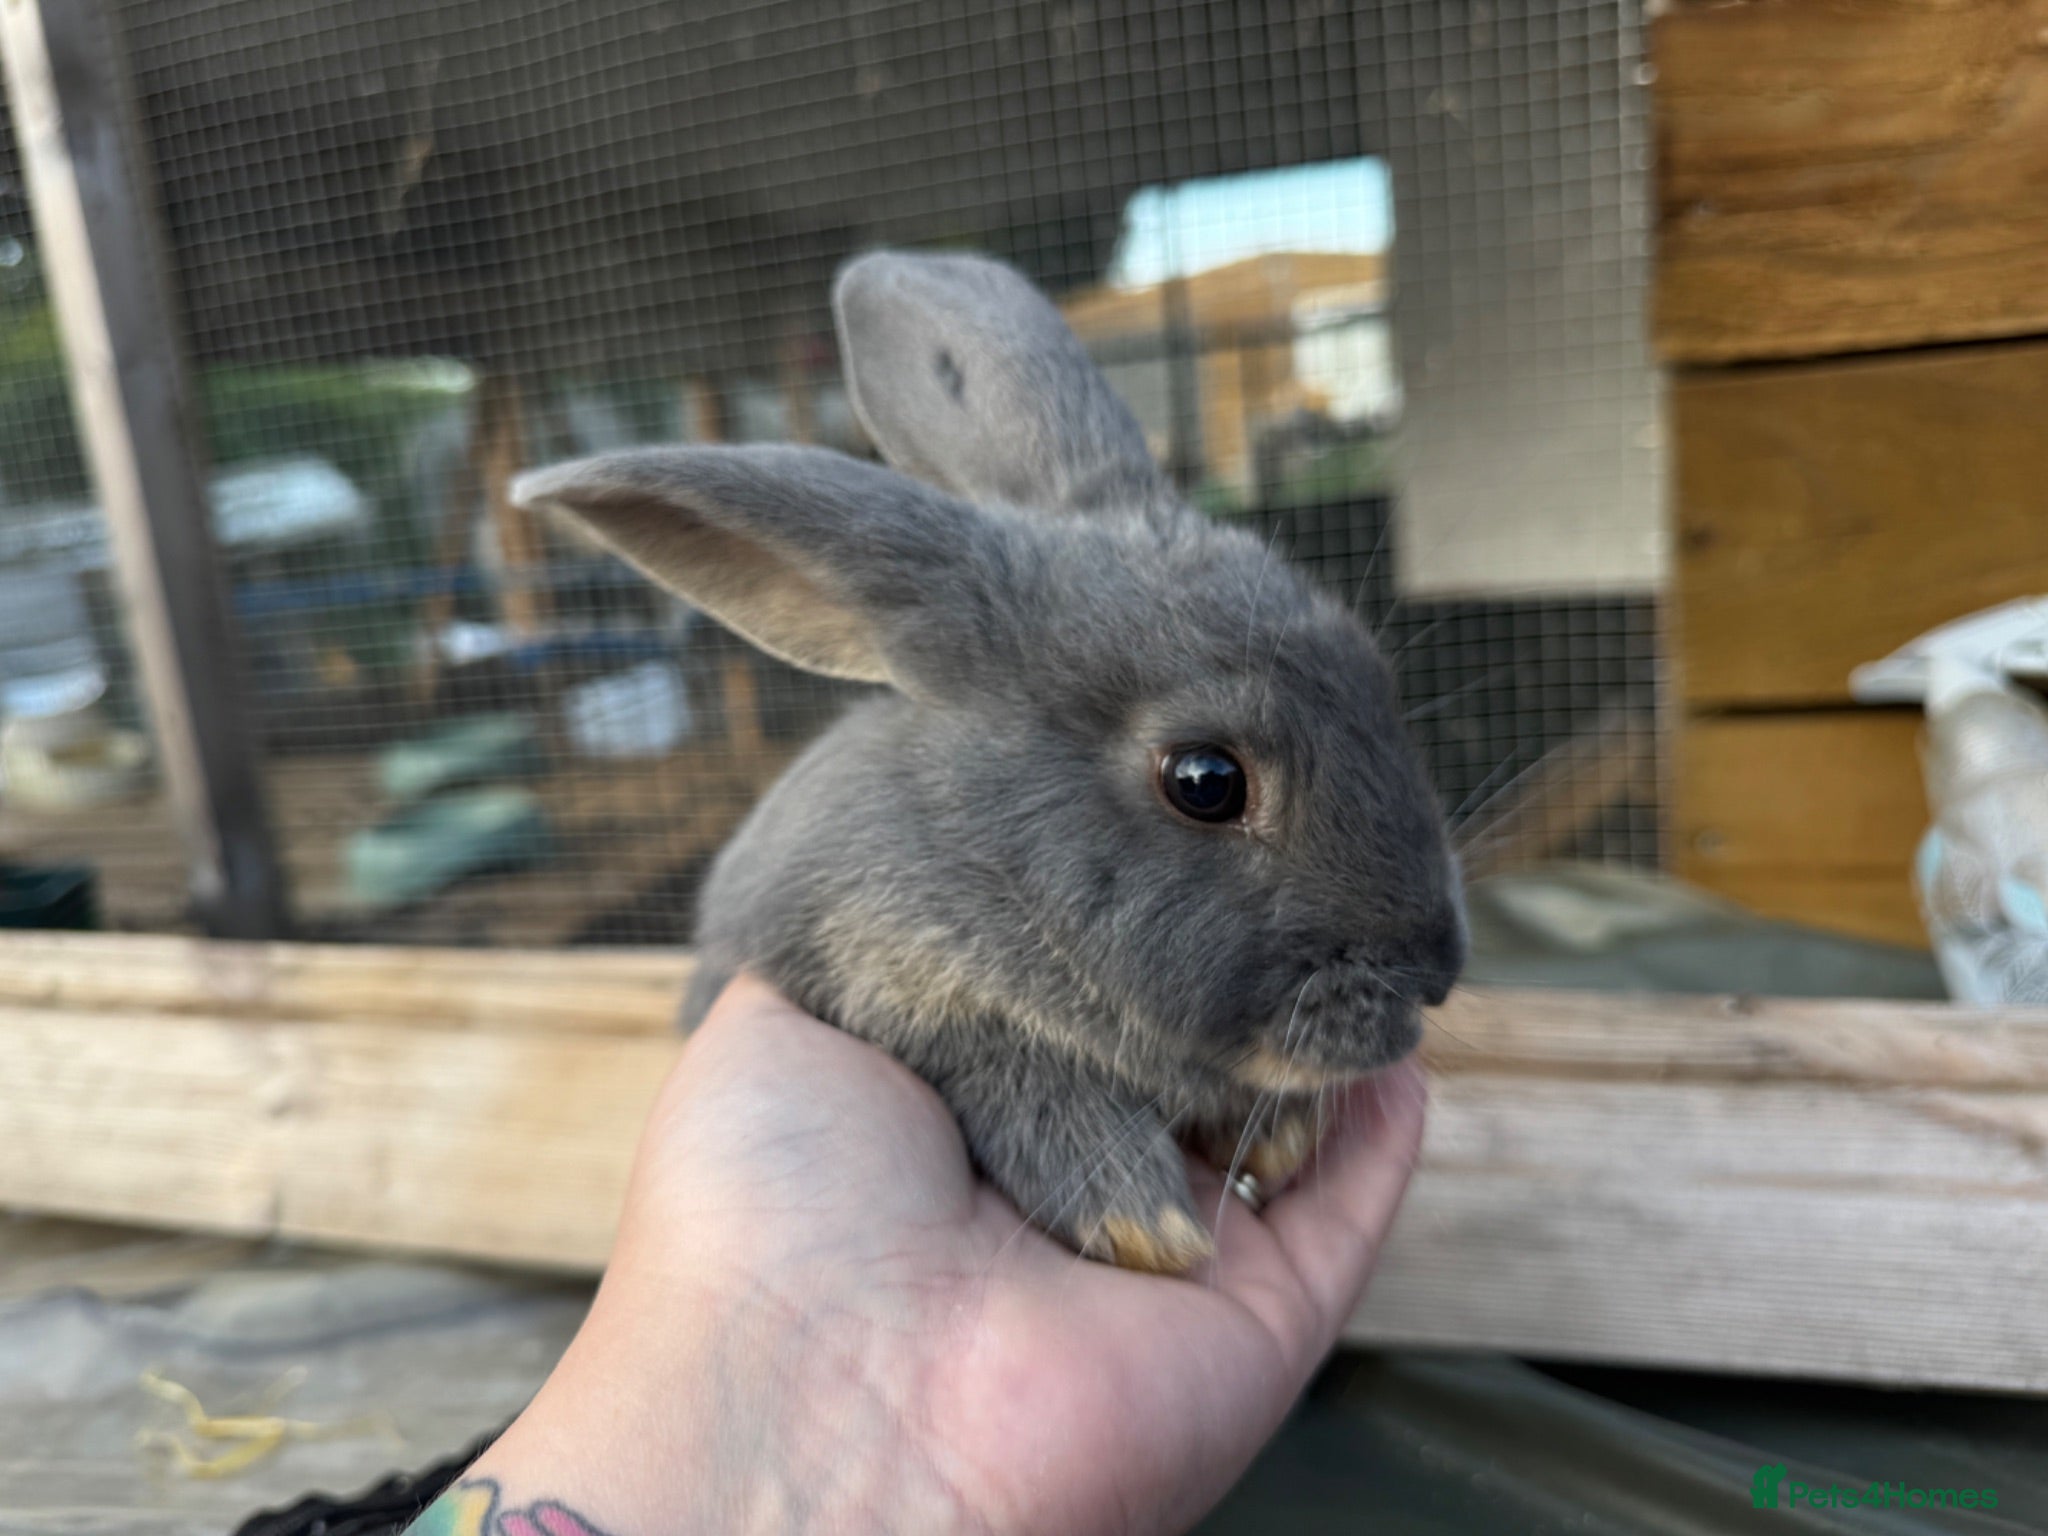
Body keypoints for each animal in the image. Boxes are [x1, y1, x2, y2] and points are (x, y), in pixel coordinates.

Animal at [513, 250, 1465, 1275]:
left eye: (1376, 679)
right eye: (1207, 782)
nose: (1436, 972)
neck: (982, 853)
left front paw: (1280, 1139)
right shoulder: (884, 997)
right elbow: (1005, 1072)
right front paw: (1140, 1221)